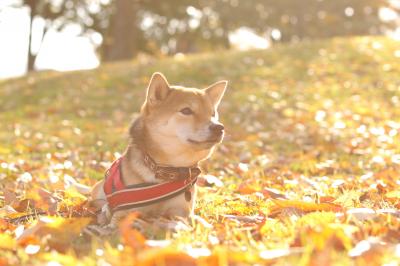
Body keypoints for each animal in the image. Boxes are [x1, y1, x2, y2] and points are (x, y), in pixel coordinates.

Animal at [91, 71, 228, 225]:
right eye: (186, 110)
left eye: (213, 114)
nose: (219, 127)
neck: (167, 171)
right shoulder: (124, 212)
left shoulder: (183, 212)